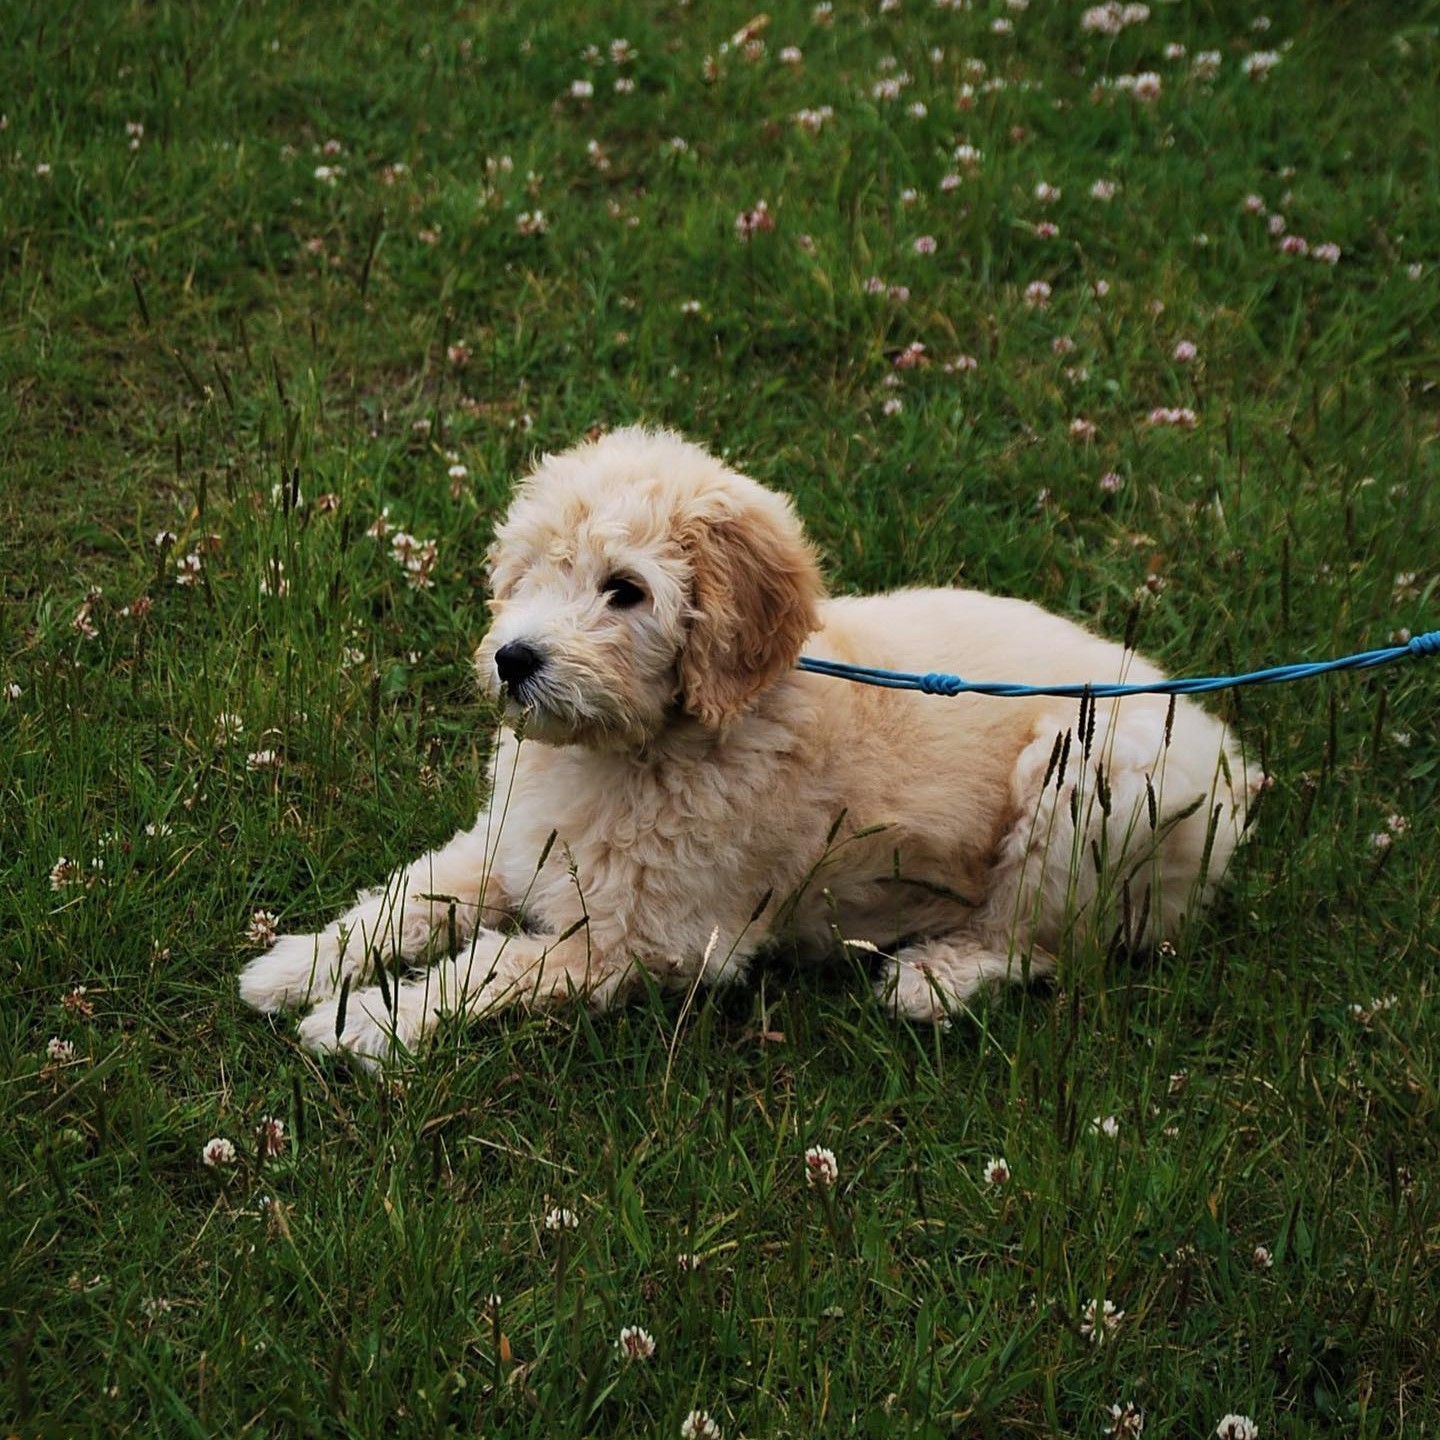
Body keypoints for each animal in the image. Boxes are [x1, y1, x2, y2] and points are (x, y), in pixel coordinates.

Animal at [241, 420, 1255, 1065]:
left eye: (626, 590)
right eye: (526, 574)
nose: (512, 659)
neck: (640, 750)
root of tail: (1234, 761)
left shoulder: (643, 940)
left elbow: (491, 967)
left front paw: (370, 1022)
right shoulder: (512, 844)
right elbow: (406, 898)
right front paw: (295, 967)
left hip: (1096, 773)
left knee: (1043, 940)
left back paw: (936, 977)